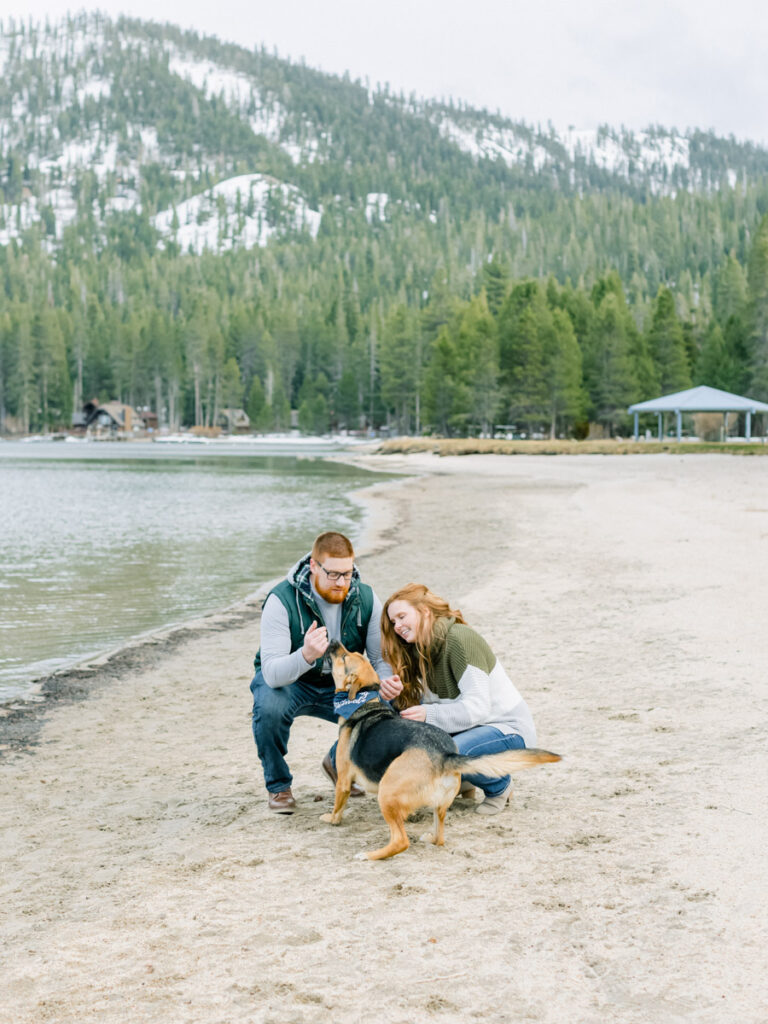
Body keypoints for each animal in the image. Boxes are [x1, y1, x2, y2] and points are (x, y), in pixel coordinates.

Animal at [321, 643, 561, 860]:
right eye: (349, 652)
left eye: (344, 658)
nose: (333, 641)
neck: (364, 702)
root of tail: (445, 756)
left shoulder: (343, 780)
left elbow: (338, 807)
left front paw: (331, 819)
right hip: (439, 806)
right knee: (439, 838)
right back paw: (428, 837)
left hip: (386, 793)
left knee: (401, 841)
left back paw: (370, 855)